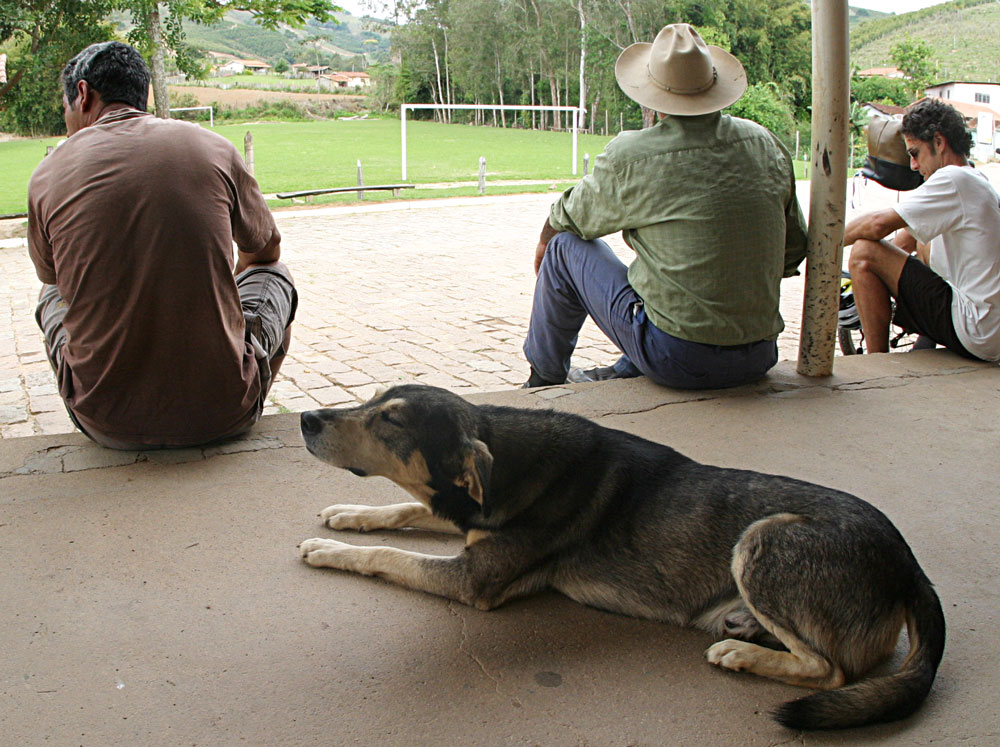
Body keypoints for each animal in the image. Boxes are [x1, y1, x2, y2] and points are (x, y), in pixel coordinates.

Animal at [296, 386, 944, 732]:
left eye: (391, 421)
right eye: (374, 399)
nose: (307, 418)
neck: (504, 461)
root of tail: (911, 568)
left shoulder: (474, 579)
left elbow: (388, 555)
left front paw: (332, 549)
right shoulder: (469, 521)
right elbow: (402, 510)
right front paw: (347, 514)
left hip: (764, 540)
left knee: (831, 670)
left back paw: (740, 652)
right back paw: (743, 629)